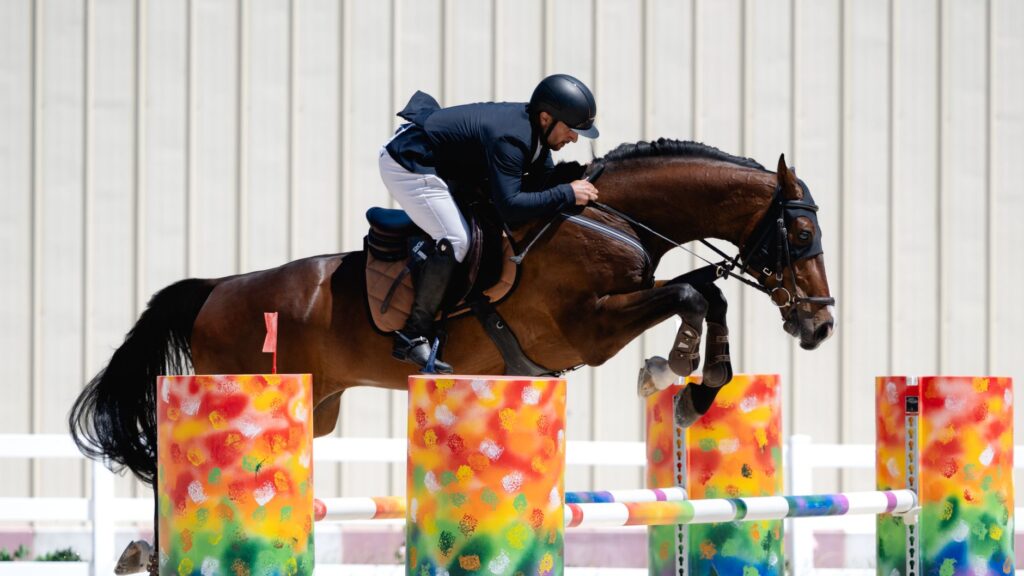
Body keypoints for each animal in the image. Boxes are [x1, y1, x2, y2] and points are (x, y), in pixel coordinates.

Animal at [69, 139, 835, 491]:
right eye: (800, 234)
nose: (820, 326)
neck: (615, 219)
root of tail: (216, 289)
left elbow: (708, 291)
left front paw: (696, 392)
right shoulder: (586, 329)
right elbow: (691, 294)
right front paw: (670, 373)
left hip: (316, 408)